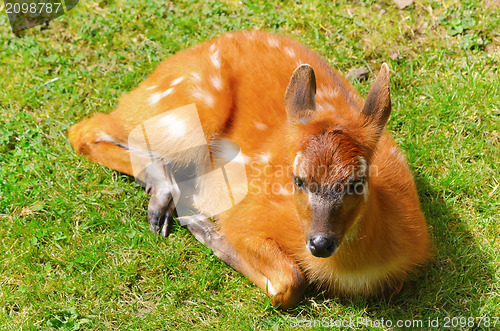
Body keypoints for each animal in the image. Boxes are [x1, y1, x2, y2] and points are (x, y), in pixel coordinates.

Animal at [68, 29, 432, 310]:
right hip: (187, 113)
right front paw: (208, 230)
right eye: (298, 179)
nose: (320, 243)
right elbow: (289, 281)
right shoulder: (250, 215)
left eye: (356, 181)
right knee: (86, 130)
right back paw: (165, 198)